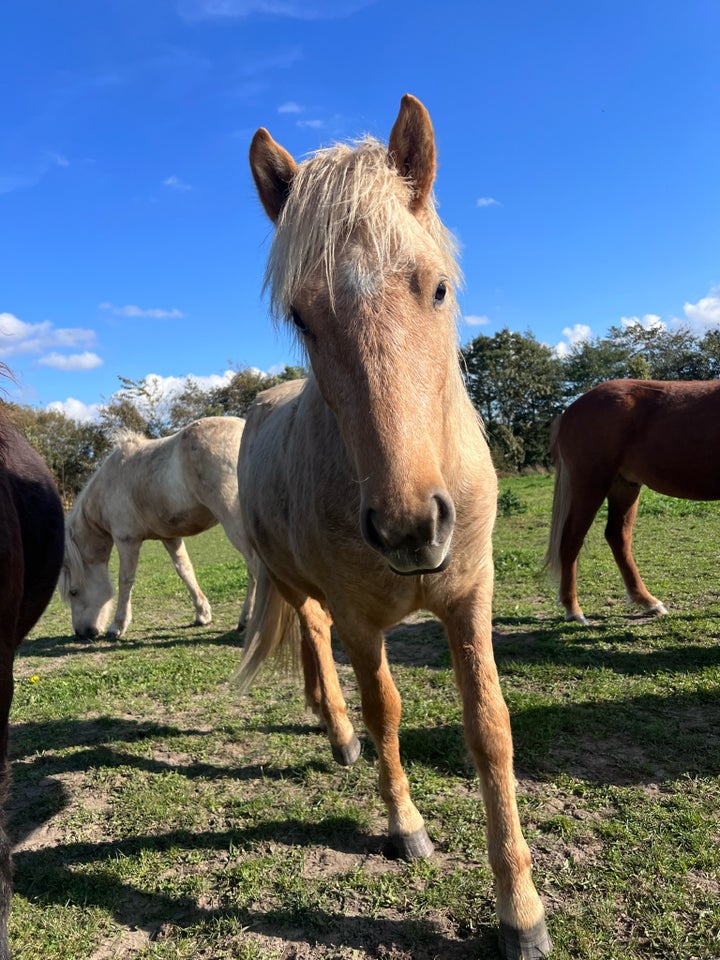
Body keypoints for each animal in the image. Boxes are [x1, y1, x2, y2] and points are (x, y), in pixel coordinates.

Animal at [59, 418, 256, 636]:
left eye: (73, 592)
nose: (82, 633)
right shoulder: (170, 537)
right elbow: (185, 570)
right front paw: (202, 614)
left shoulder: (127, 541)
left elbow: (125, 580)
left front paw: (118, 626)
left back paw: (246, 620)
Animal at [238, 92, 552, 960]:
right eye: (303, 316)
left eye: (437, 288)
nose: (411, 527)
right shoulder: (360, 619)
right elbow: (388, 711)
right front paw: (404, 825)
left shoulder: (470, 600)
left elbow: (491, 731)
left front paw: (521, 909)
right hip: (292, 582)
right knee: (313, 638)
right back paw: (340, 734)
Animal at [544, 376, 720, 624]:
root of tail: (570, 410)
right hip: (590, 486)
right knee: (571, 540)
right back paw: (574, 610)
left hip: (624, 487)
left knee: (617, 536)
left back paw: (648, 602)